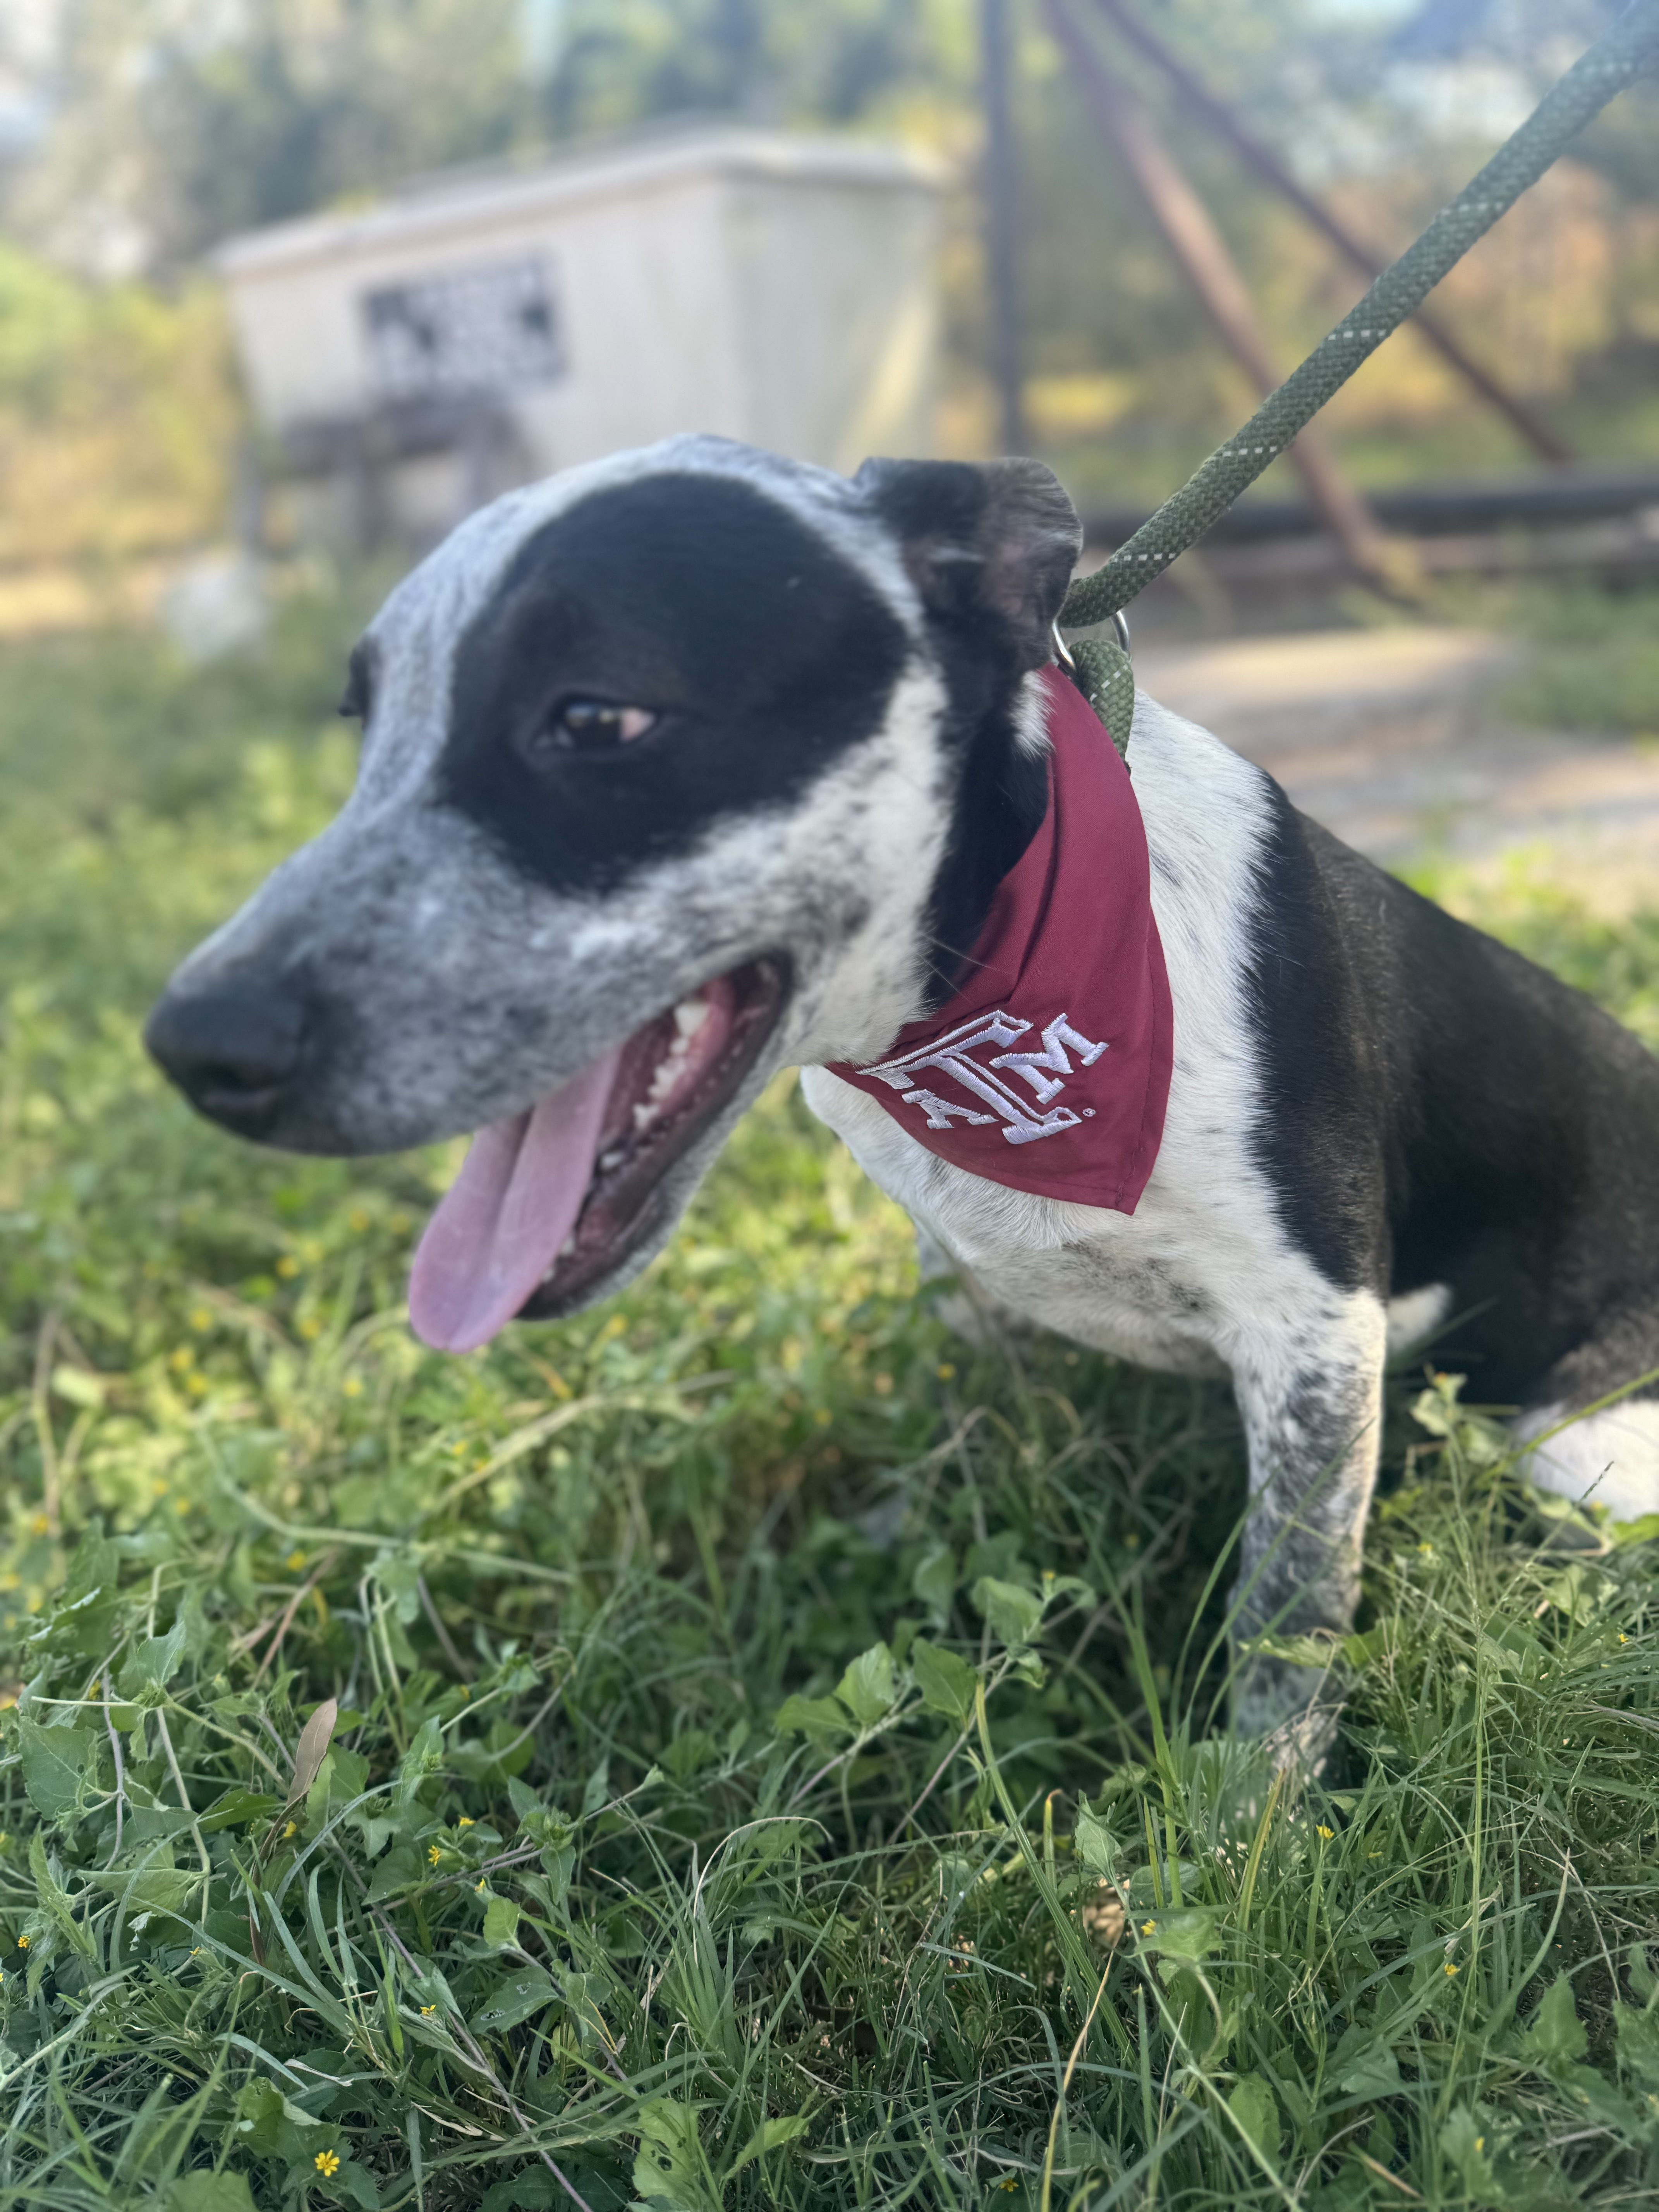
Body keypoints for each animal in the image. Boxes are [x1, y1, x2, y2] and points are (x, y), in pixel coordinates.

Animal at [145, 435, 1659, 1755]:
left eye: (595, 716)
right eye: (365, 728)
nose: (192, 1044)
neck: (973, 996)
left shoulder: (1316, 1340)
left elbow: (1283, 1628)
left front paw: (1251, 1832)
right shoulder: (969, 1277)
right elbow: (959, 1448)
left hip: (1571, 1449)